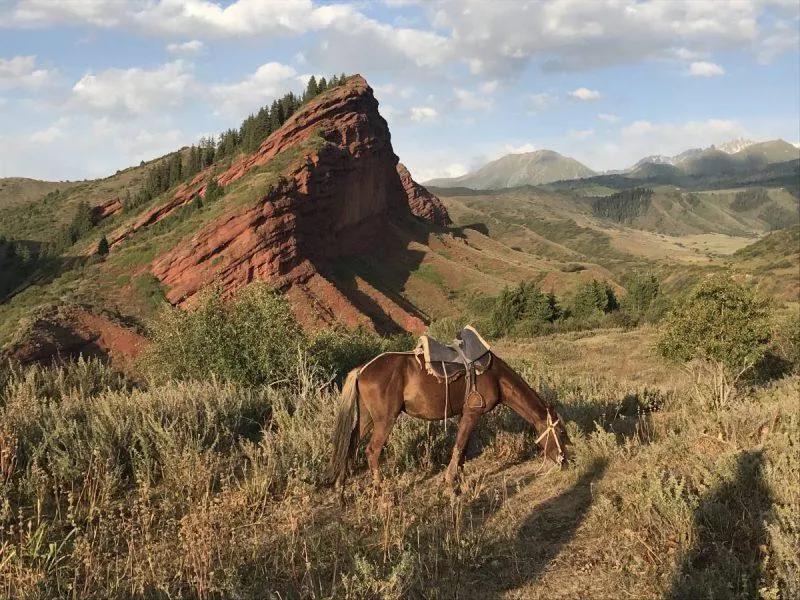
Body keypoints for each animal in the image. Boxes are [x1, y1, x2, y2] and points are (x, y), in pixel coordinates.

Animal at [328, 352, 572, 488]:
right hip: (385, 419)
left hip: (368, 418)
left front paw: (460, 479)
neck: (496, 378)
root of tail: (363, 369)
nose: (565, 461)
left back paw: (341, 485)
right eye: (561, 432)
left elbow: (463, 448)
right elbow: (460, 445)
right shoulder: (472, 413)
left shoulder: (468, 414)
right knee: (372, 450)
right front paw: (449, 481)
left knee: (351, 442)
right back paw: (380, 489)